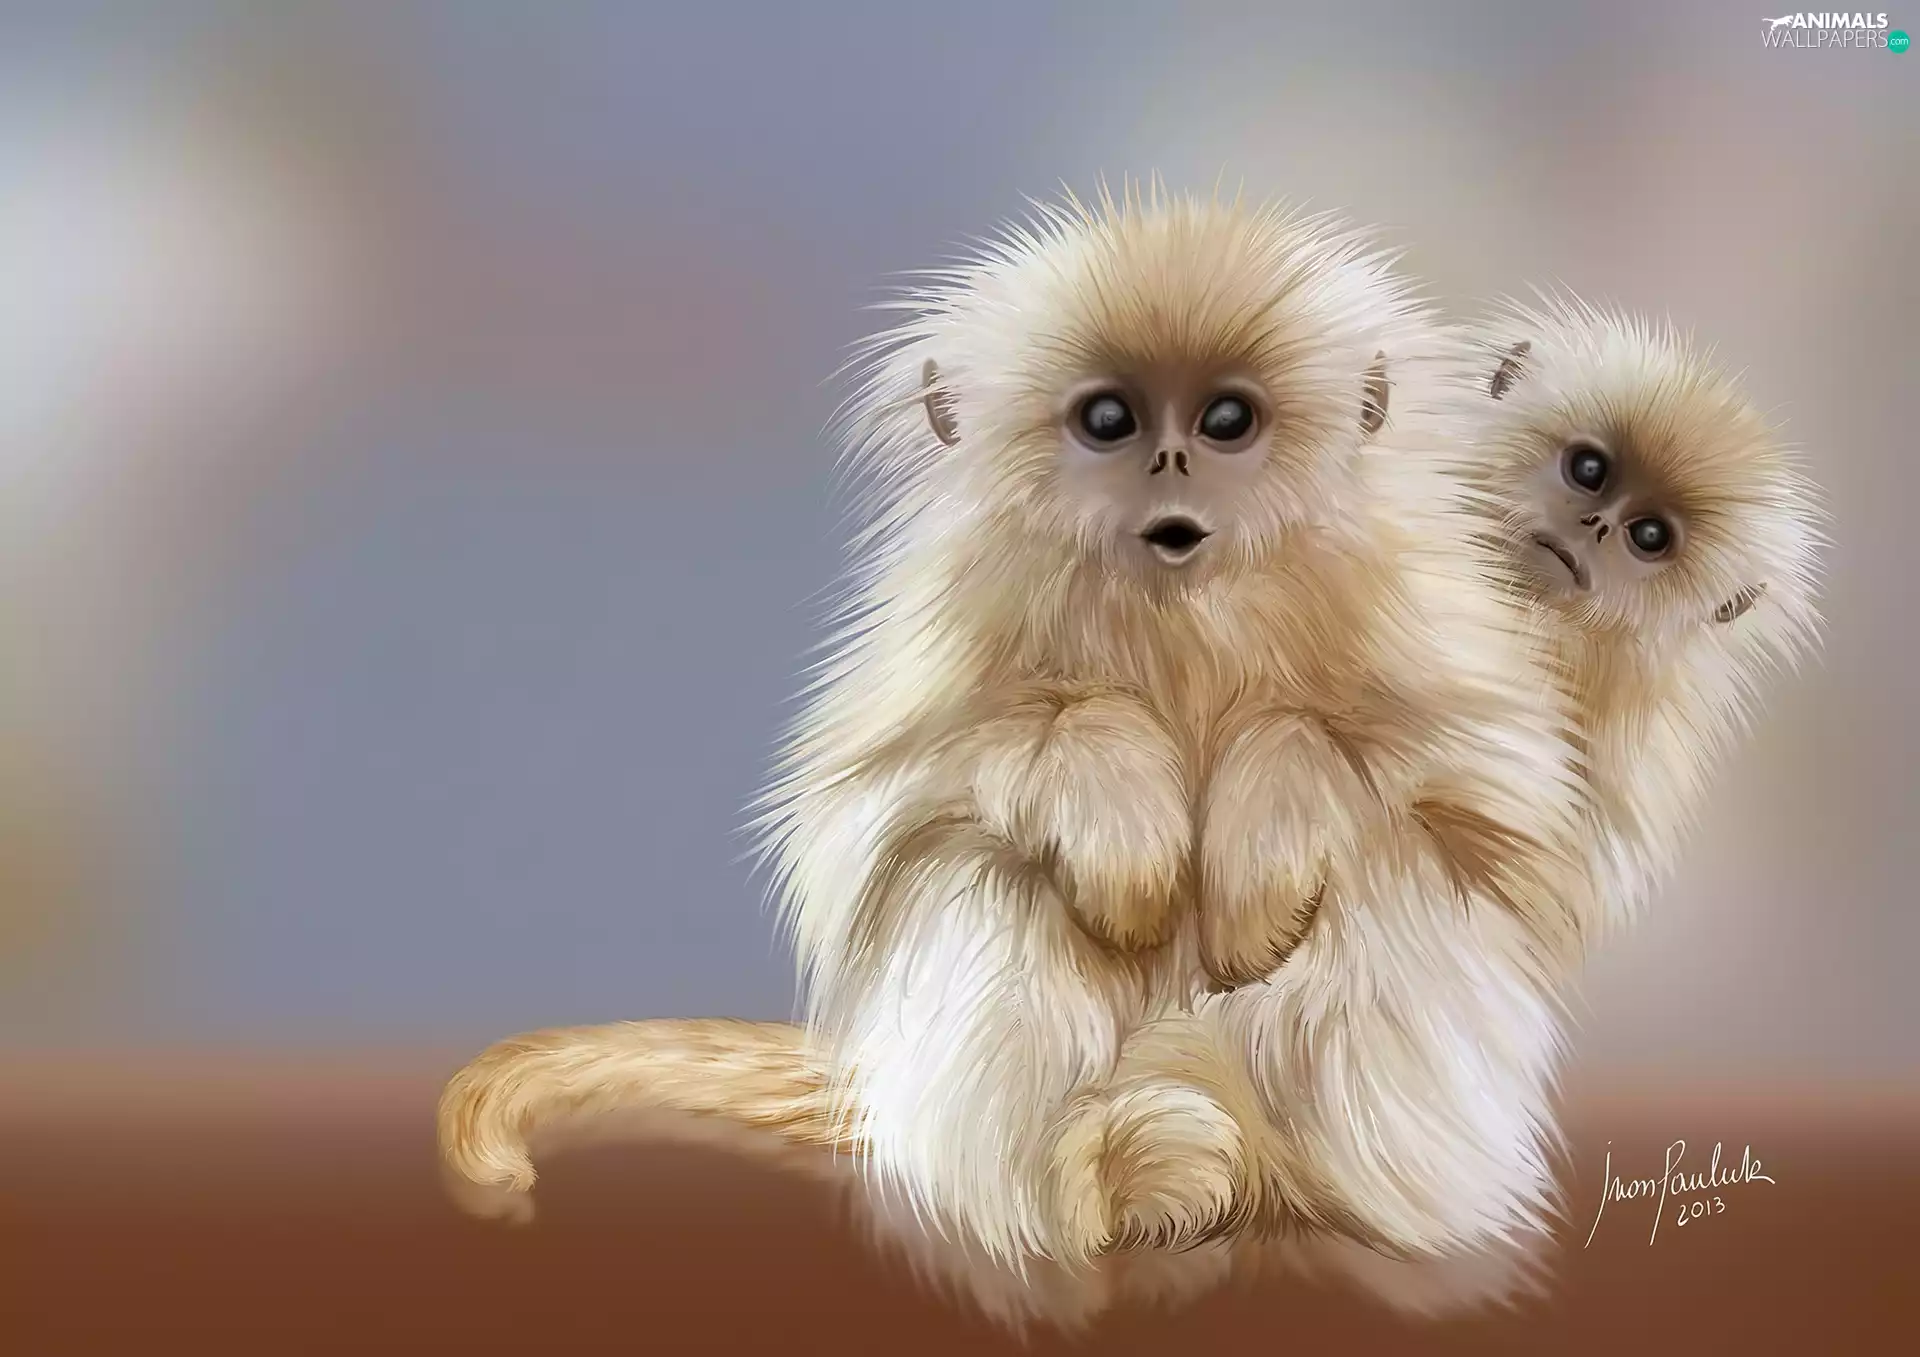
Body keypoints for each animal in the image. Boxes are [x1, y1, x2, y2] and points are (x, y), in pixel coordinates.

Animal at [438, 185, 1591, 1282]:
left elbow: (1492, 805)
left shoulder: (1422, 610)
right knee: (981, 874)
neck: (1182, 611)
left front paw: (1260, 836)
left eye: (1225, 419)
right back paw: (1116, 1176)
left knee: (1384, 878)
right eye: (1110, 419)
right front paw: (1119, 809)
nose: (1170, 463)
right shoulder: (949, 618)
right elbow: (874, 817)